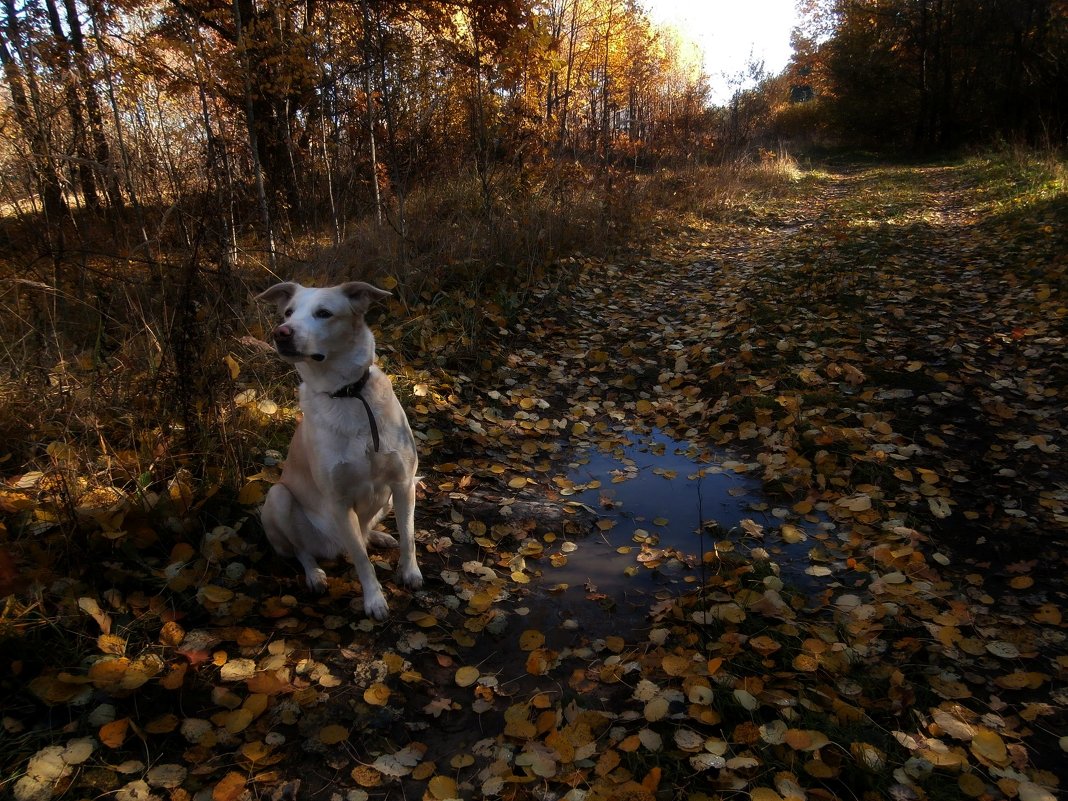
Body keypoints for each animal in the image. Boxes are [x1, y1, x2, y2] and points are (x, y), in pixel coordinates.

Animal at [256, 281, 422, 619]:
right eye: (288, 312)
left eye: (324, 313)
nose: (281, 332)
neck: (346, 394)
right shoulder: (338, 501)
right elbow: (361, 558)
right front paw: (374, 599)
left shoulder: (403, 482)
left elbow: (409, 536)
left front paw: (410, 572)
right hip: (277, 498)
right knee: (302, 551)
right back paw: (315, 575)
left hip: (389, 497)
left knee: (367, 529)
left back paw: (379, 535)